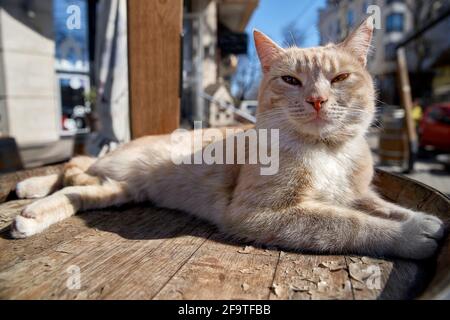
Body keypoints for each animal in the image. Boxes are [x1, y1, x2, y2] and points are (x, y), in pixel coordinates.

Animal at [9, 17, 442, 258]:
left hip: (119, 190)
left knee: (76, 187)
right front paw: (408, 234)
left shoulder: (359, 194)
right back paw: (30, 189)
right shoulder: (259, 213)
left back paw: (31, 212)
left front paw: (420, 219)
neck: (329, 154)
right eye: (290, 80)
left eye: (339, 78)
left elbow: (383, 207)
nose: (317, 99)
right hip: (115, 167)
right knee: (72, 167)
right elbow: (345, 224)